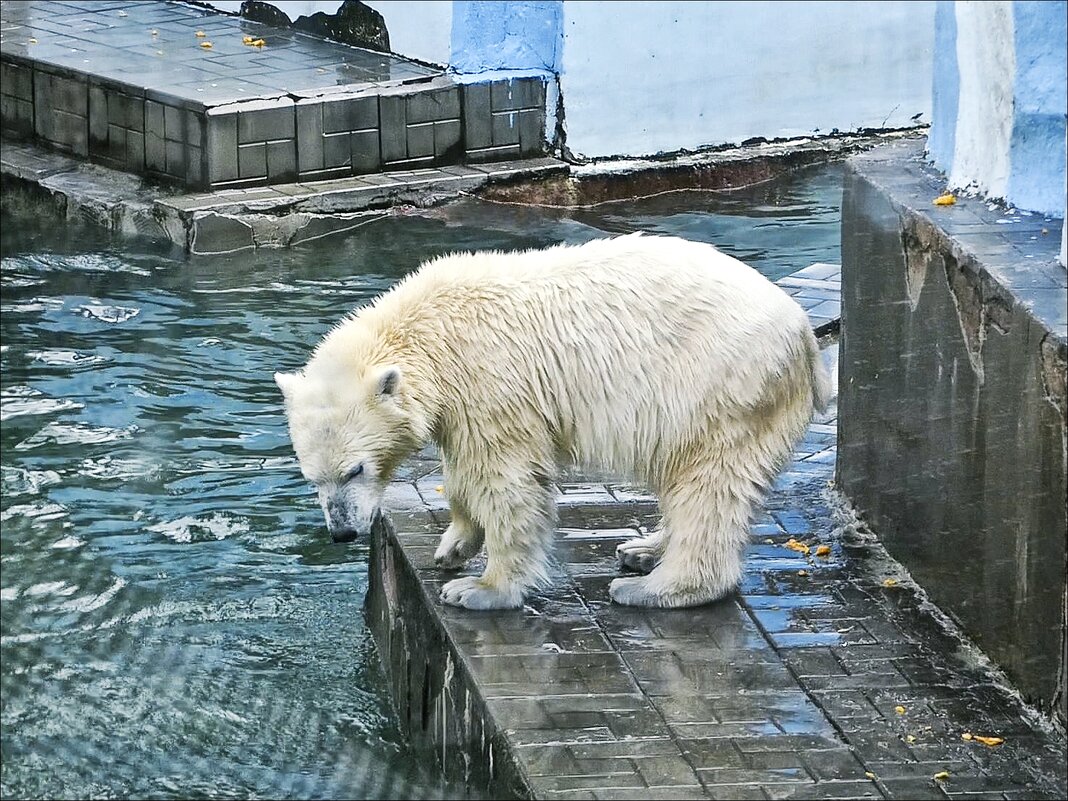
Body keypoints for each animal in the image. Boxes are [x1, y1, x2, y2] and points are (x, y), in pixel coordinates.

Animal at [271, 234, 828, 610]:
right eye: (313, 478)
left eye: (356, 470)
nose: (342, 532)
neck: (429, 333)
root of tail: (803, 332)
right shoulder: (461, 401)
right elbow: (462, 471)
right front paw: (454, 545)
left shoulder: (491, 381)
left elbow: (506, 479)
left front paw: (480, 588)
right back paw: (642, 550)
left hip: (717, 387)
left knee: (708, 483)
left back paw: (651, 586)